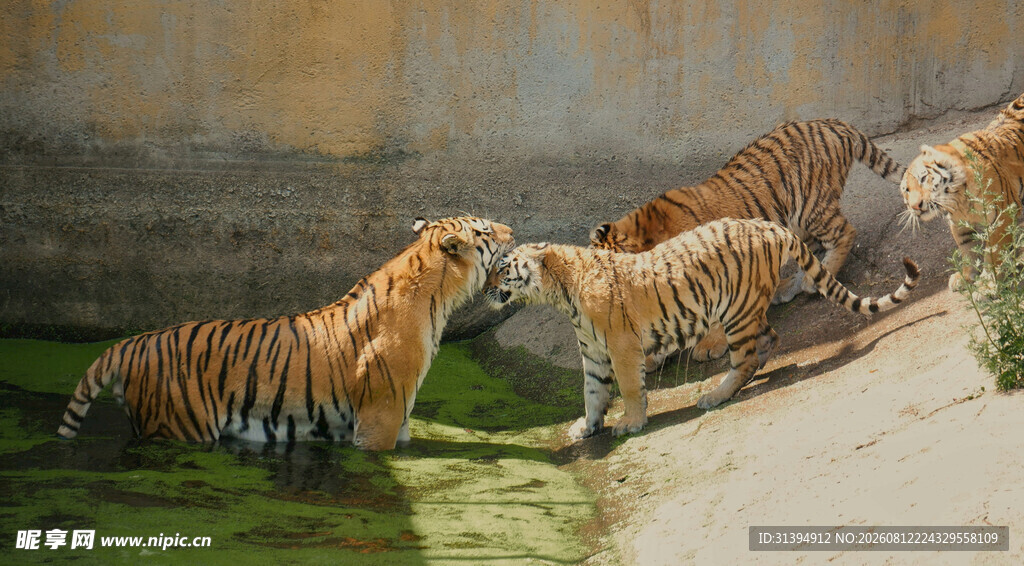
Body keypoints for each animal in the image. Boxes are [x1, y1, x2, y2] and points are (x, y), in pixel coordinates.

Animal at [57, 216, 515, 450]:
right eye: (486, 230)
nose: (512, 231)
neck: (439, 296)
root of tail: (132, 342)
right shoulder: (381, 417)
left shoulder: (399, 418)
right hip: (180, 425)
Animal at [484, 218, 919, 440]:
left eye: (502, 268)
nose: (484, 289)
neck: (560, 294)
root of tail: (771, 226)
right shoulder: (593, 352)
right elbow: (592, 393)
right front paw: (587, 427)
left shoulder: (621, 347)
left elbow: (629, 388)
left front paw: (630, 423)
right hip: (746, 308)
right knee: (769, 340)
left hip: (735, 312)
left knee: (745, 358)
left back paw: (716, 395)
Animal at [588, 119, 905, 367]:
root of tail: (832, 123)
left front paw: (708, 346)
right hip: (795, 222)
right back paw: (789, 286)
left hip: (810, 207)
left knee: (844, 232)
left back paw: (810, 283)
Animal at [899, 92, 1024, 291]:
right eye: (907, 190)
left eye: (923, 178)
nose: (915, 206)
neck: (958, 199)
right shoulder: (958, 222)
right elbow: (966, 247)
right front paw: (966, 277)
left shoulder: (1001, 215)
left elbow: (993, 252)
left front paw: (988, 284)